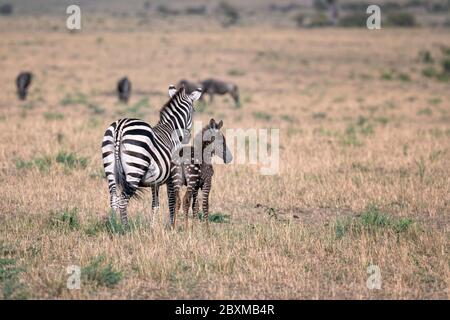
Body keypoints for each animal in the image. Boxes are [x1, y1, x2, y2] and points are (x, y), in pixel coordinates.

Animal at [102, 85, 202, 225]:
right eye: (194, 110)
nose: (187, 137)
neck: (171, 129)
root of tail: (120, 126)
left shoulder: (155, 181)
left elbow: (155, 204)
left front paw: (153, 226)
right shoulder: (171, 177)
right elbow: (172, 201)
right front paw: (172, 225)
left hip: (110, 168)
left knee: (113, 199)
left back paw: (113, 224)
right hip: (134, 168)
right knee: (122, 201)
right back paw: (124, 228)